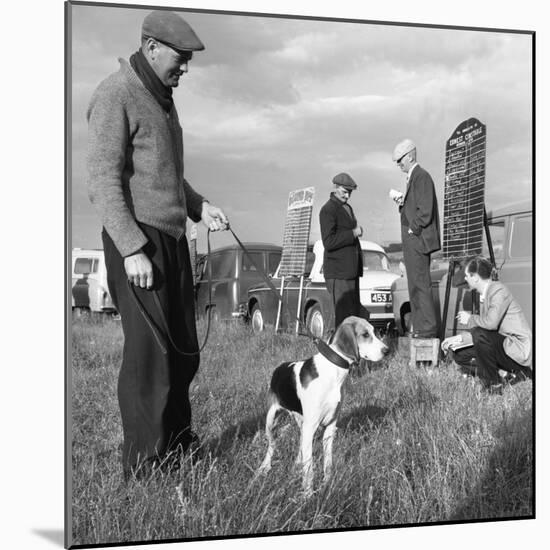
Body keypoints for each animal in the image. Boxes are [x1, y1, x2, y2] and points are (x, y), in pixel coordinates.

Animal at [258, 316, 388, 498]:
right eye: (365, 334)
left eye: (374, 332)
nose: (387, 350)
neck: (333, 371)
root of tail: (279, 367)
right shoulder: (311, 426)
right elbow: (310, 468)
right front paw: (308, 495)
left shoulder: (330, 427)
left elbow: (328, 462)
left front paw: (327, 484)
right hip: (271, 420)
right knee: (271, 445)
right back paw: (265, 467)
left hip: (302, 423)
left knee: (300, 445)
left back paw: (296, 464)